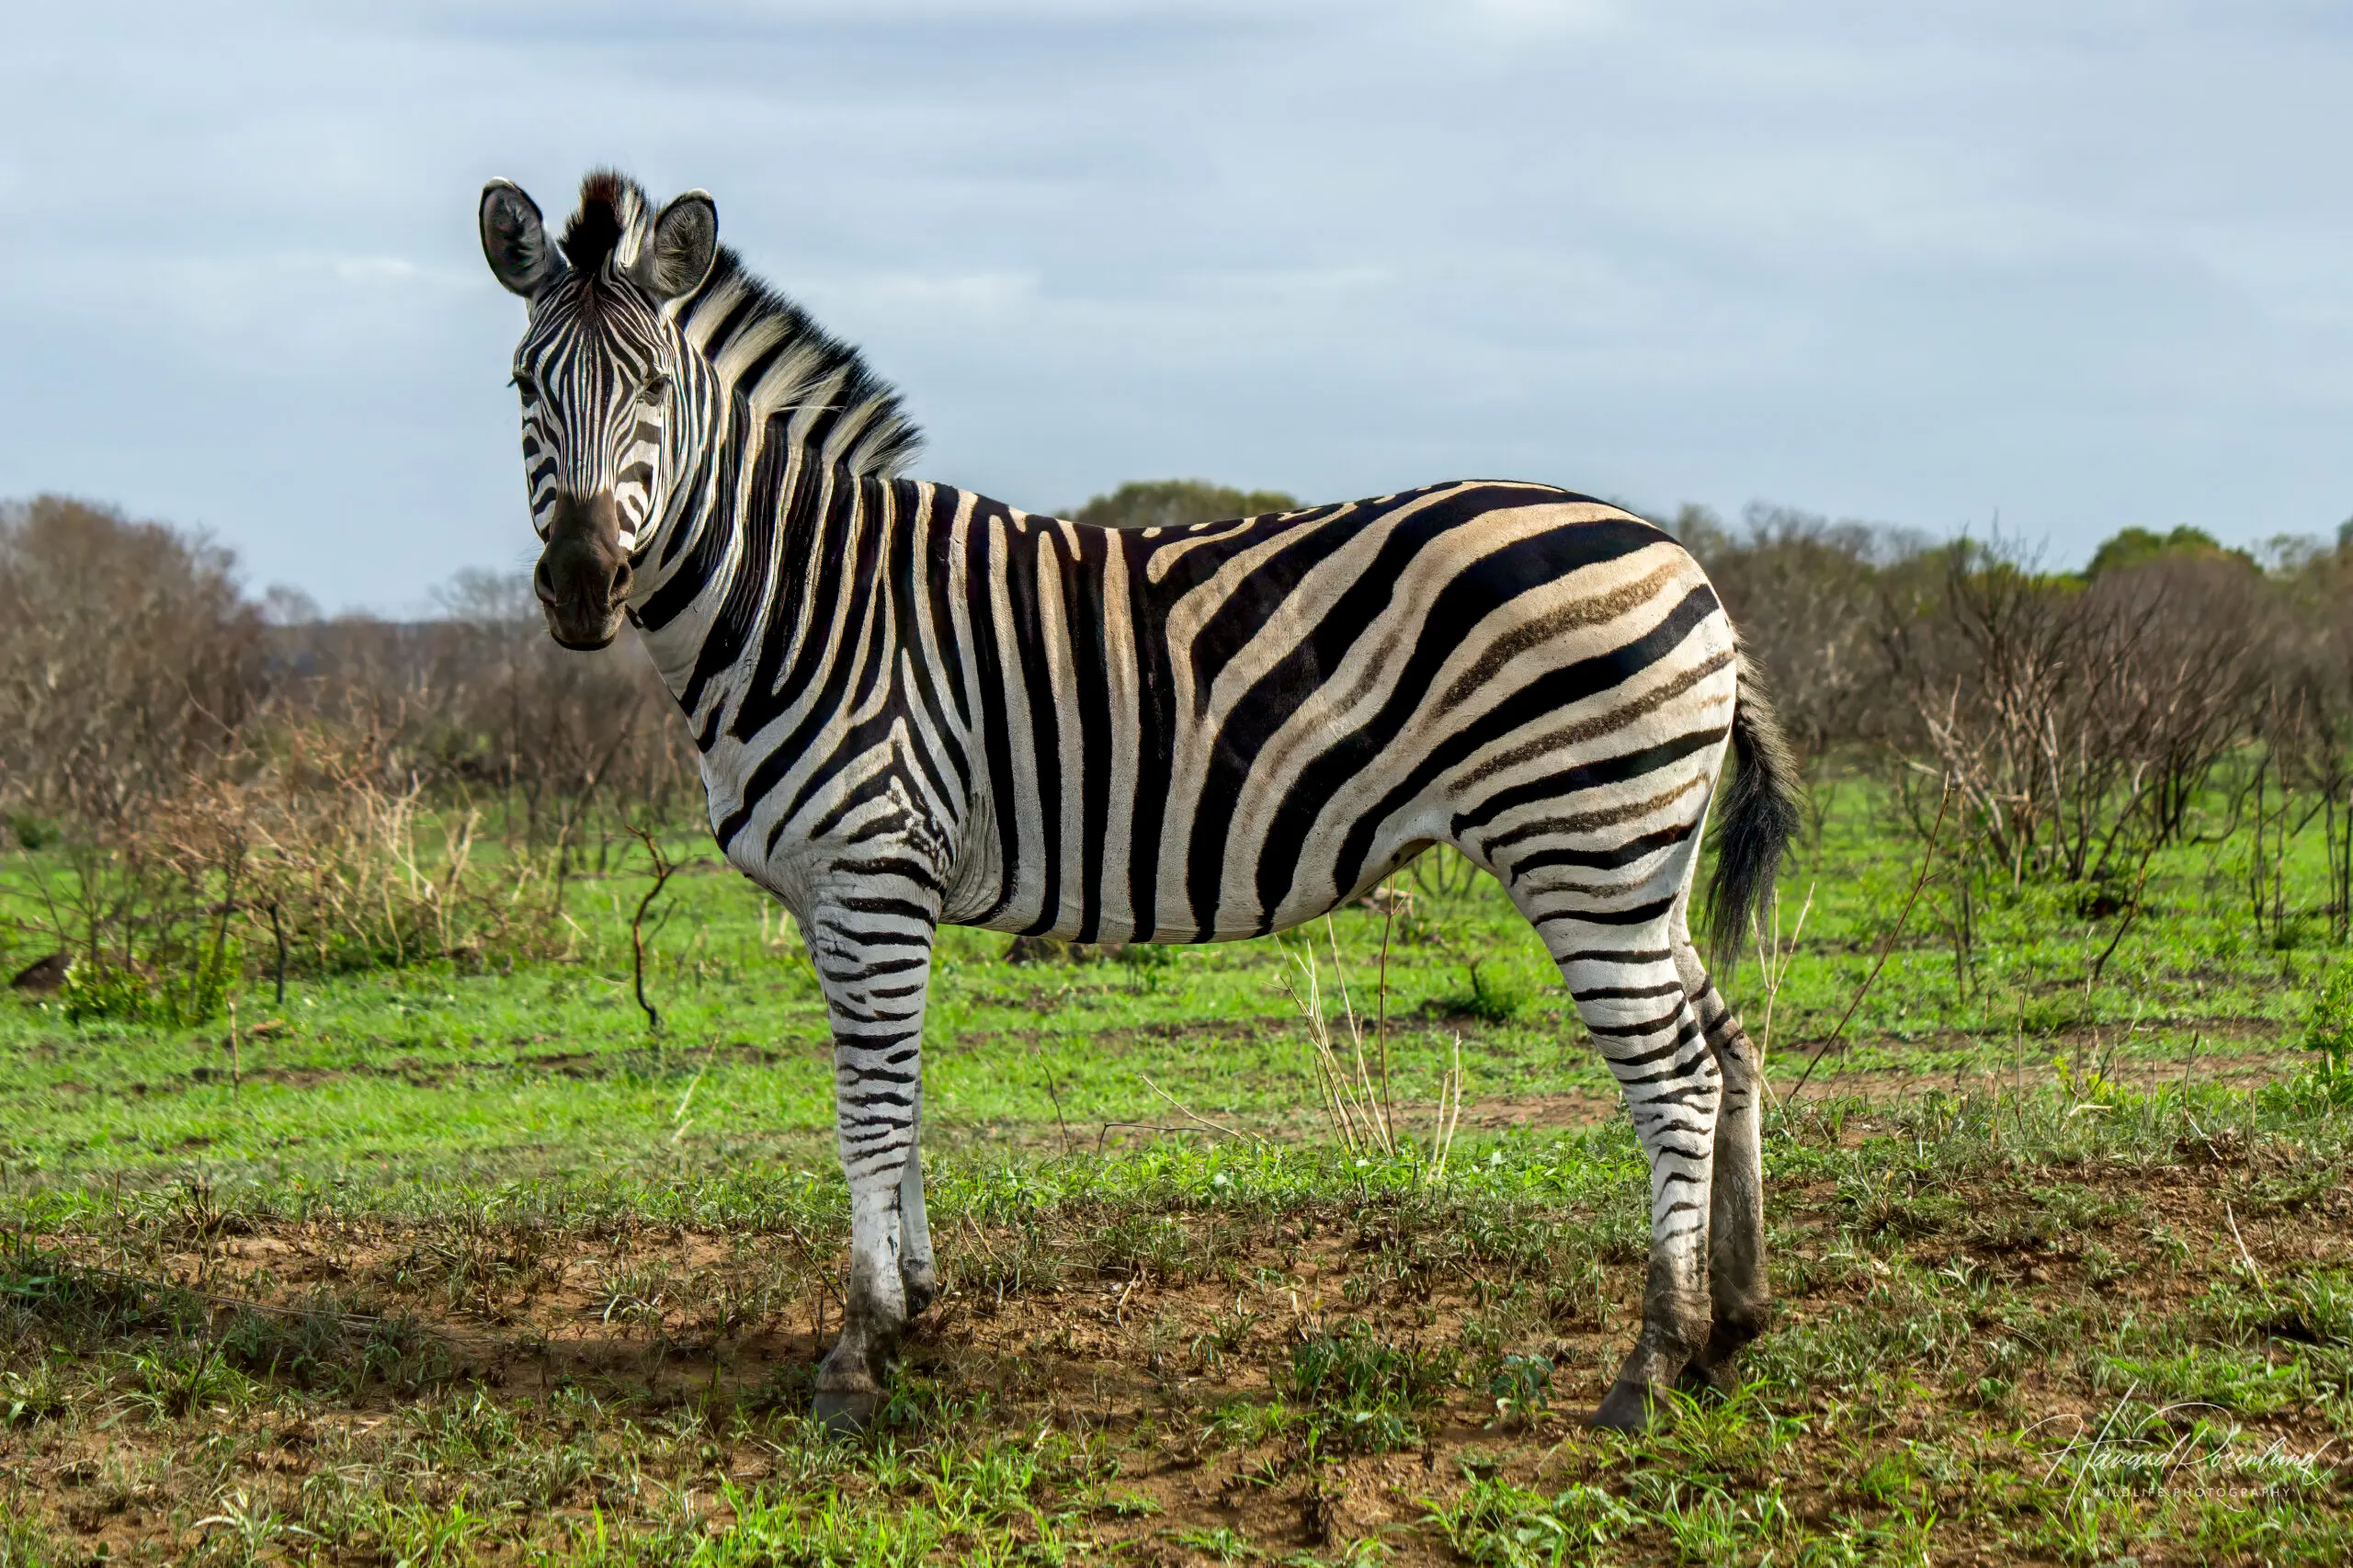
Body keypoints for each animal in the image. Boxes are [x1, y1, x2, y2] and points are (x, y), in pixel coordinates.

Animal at [477, 170, 1797, 1431]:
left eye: (654, 390)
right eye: (523, 385)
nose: (583, 585)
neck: (806, 594)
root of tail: (1688, 568)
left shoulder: (872, 870)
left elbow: (869, 1107)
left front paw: (857, 1351)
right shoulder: (853, 893)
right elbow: (902, 1094)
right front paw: (915, 1307)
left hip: (1582, 844)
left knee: (1674, 1081)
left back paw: (1648, 1366)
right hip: (1637, 861)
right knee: (1727, 1047)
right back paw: (1730, 1326)